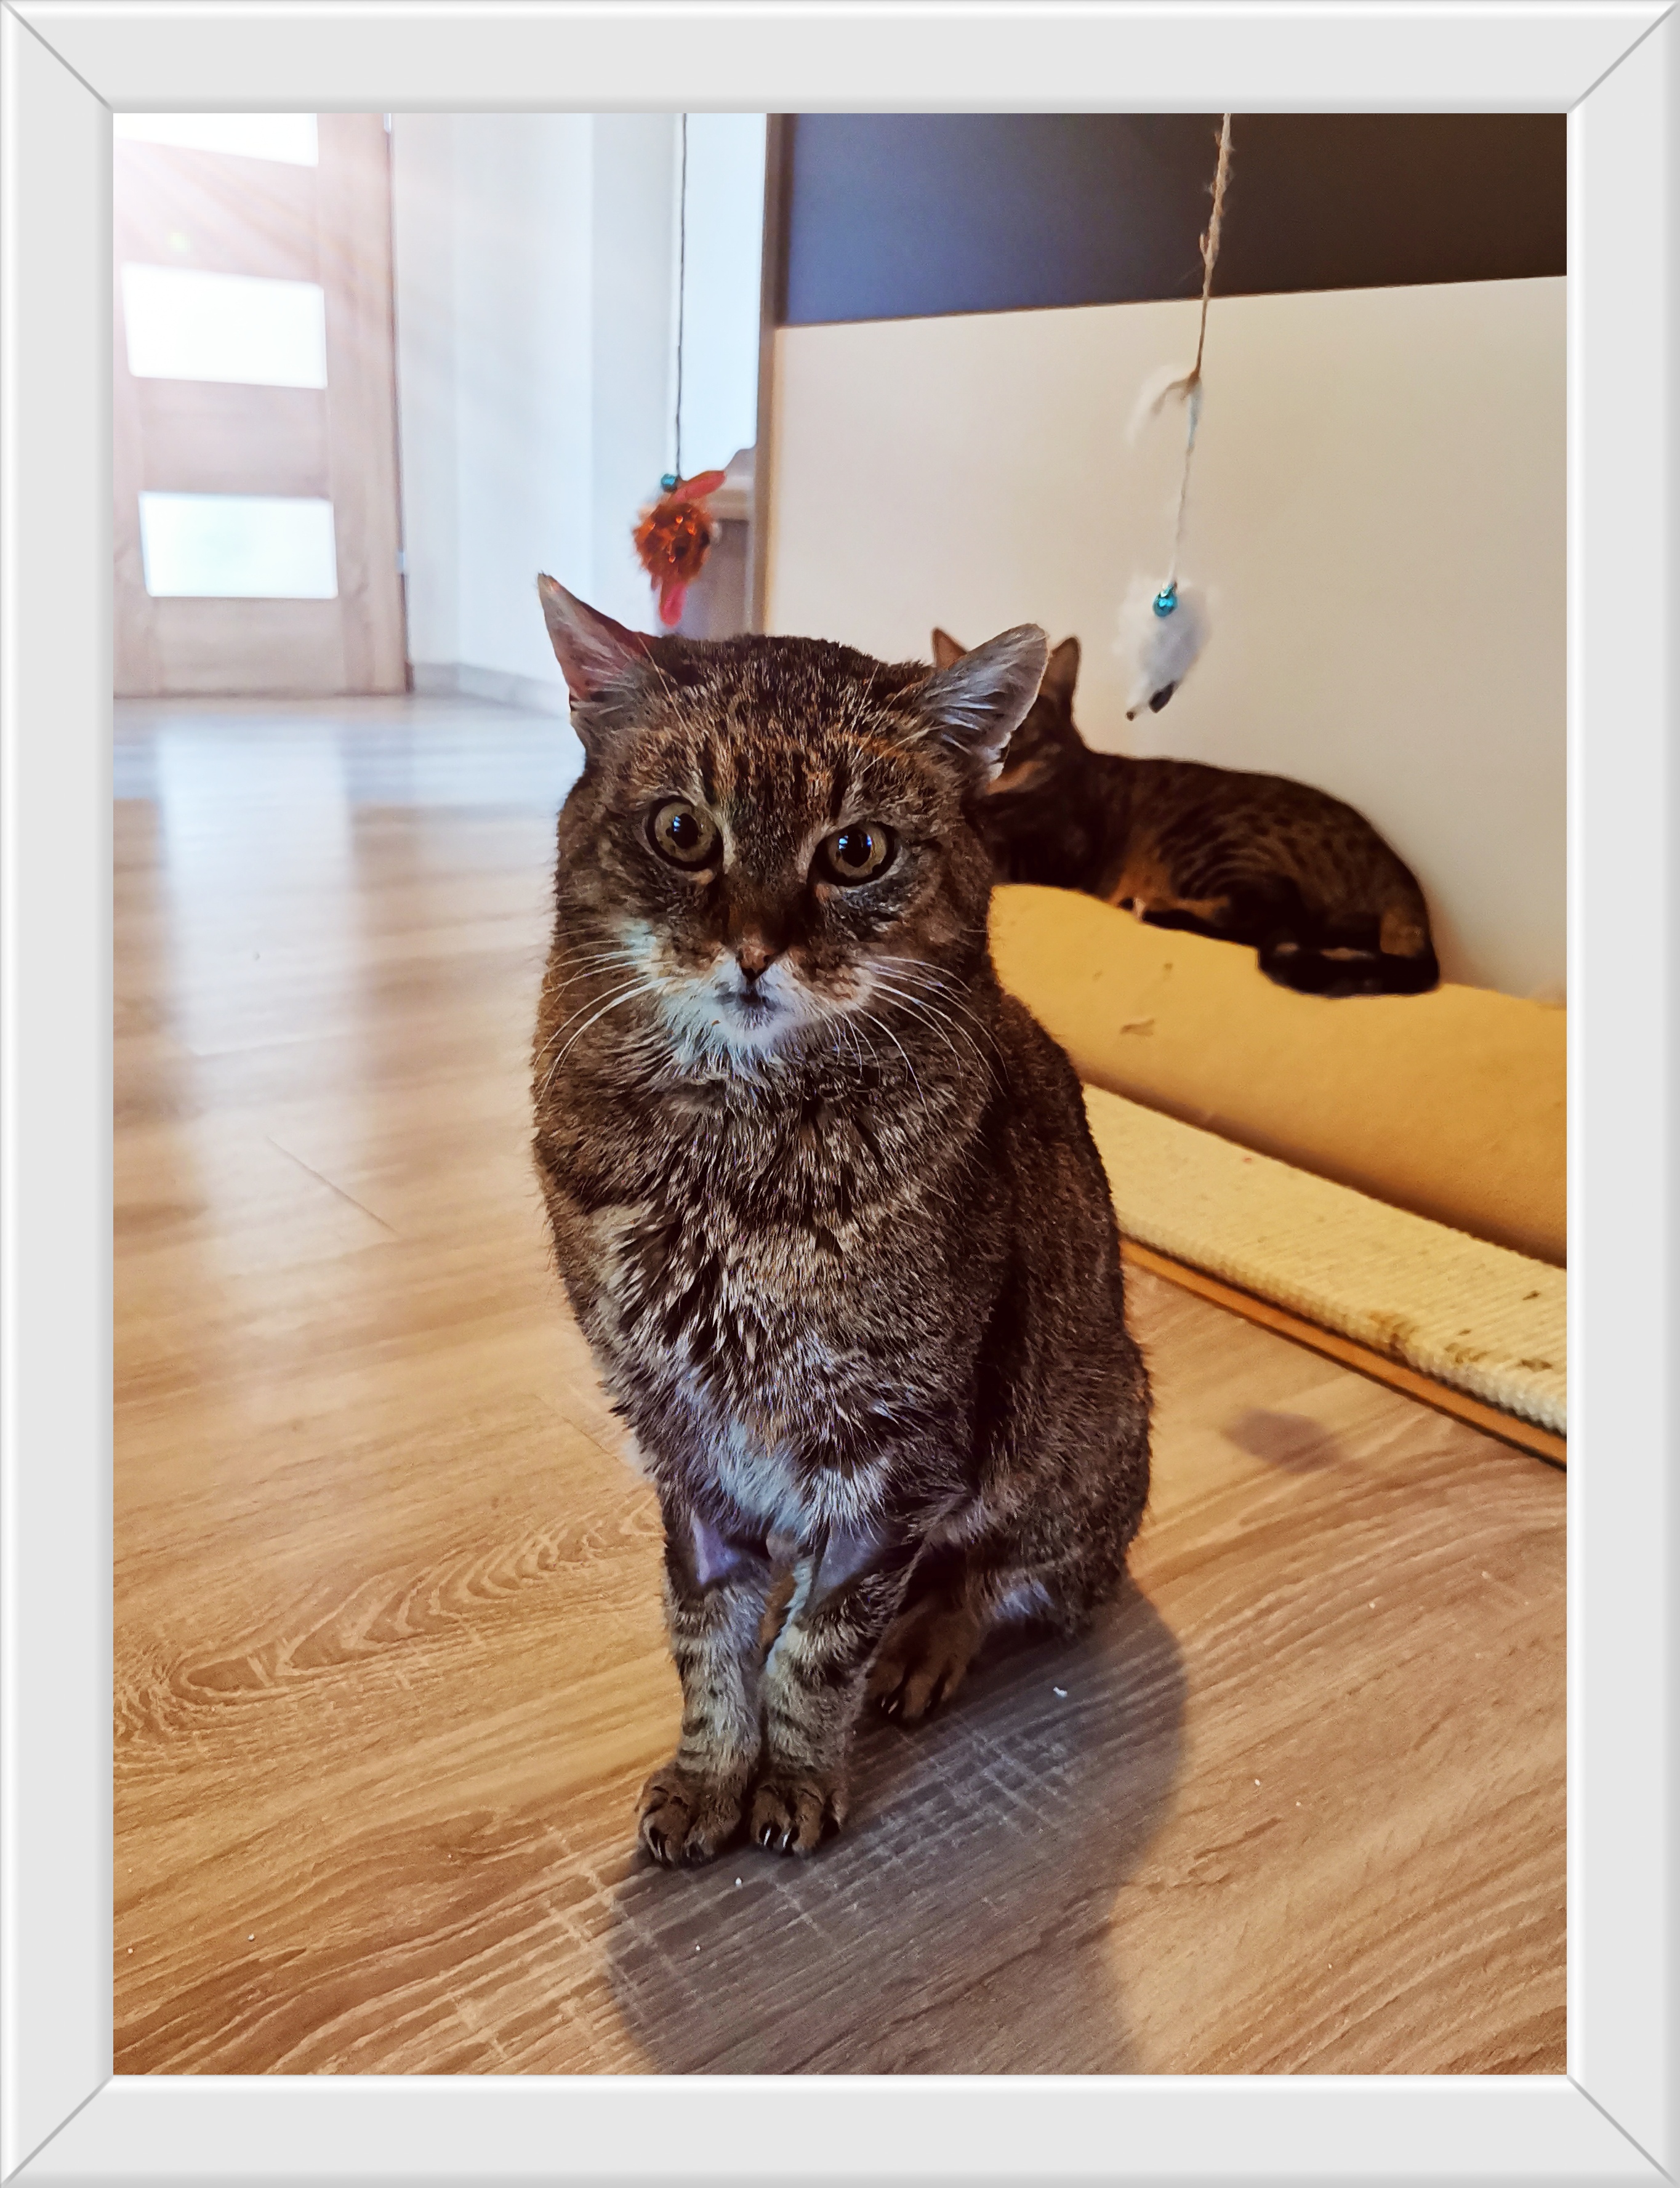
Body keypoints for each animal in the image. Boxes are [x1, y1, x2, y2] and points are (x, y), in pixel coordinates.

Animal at [531, 577, 1152, 1866]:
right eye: (682, 830)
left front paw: (794, 1774)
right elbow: (707, 1635)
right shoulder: (682, 1437)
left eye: (855, 850)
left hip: (1074, 1425)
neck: (729, 1159)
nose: (753, 949)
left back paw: (924, 1647)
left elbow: (819, 1647)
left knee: (1017, 1575)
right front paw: (708, 1772)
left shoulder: (896, 1448)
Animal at [932, 628, 1440, 997]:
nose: (992, 768)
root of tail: (1398, 872)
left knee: (1275, 911)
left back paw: (1154, 908)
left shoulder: (1060, 849)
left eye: (1019, 732)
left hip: (1213, 837)